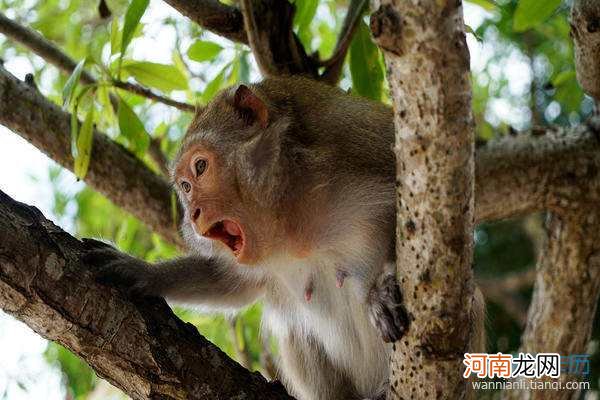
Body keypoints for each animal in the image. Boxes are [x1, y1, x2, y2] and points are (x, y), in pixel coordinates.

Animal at [83, 76, 482, 400]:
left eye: (200, 167)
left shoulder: (363, 148)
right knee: (295, 330)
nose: (192, 213)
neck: (291, 217)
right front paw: (143, 273)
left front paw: (383, 287)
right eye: (184, 187)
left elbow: (432, 224)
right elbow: (233, 283)